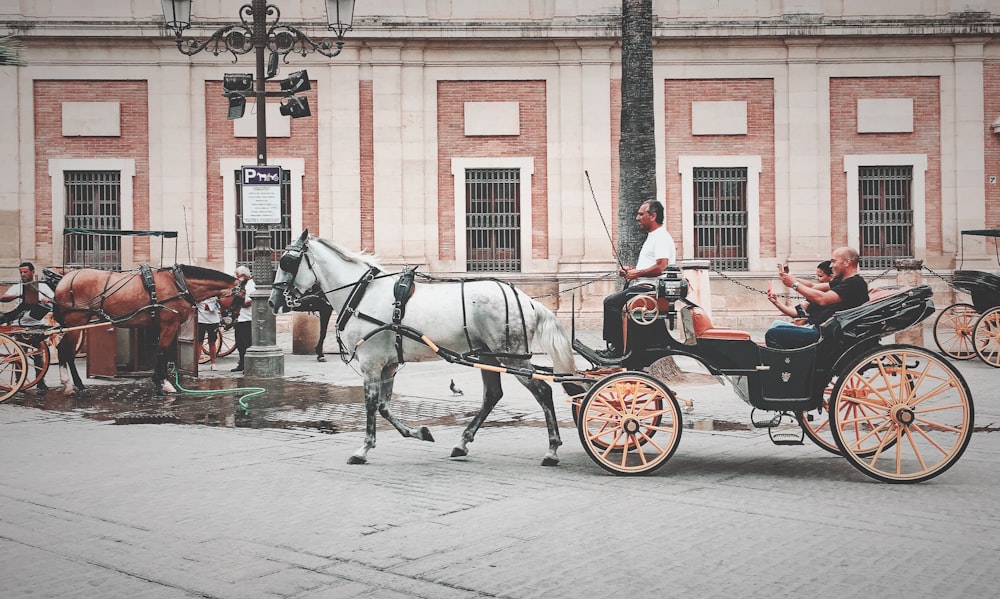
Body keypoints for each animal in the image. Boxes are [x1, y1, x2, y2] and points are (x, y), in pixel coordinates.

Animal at [53, 264, 242, 396]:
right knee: (67, 352)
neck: (179, 284)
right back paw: (78, 386)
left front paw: (163, 382)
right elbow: (162, 352)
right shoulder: (169, 324)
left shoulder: (165, 326)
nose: (230, 322)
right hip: (76, 322)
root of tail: (64, 280)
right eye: (239, 299)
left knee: (62, 350)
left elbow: (165, 352)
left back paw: (69, 386)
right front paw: (161, 384)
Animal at [270, 231, 584, 468]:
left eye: (287, 260)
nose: (273, 301)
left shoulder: (371, 362)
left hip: (511, 355)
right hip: (489, 355)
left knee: (542, 391)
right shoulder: (388, 364)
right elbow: (384, 406)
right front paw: (419, 432)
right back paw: (462, 443)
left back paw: (552, 450)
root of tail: (525, 298)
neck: (362, 294)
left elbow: (371, 404)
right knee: (493, 395)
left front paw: (363, 449)